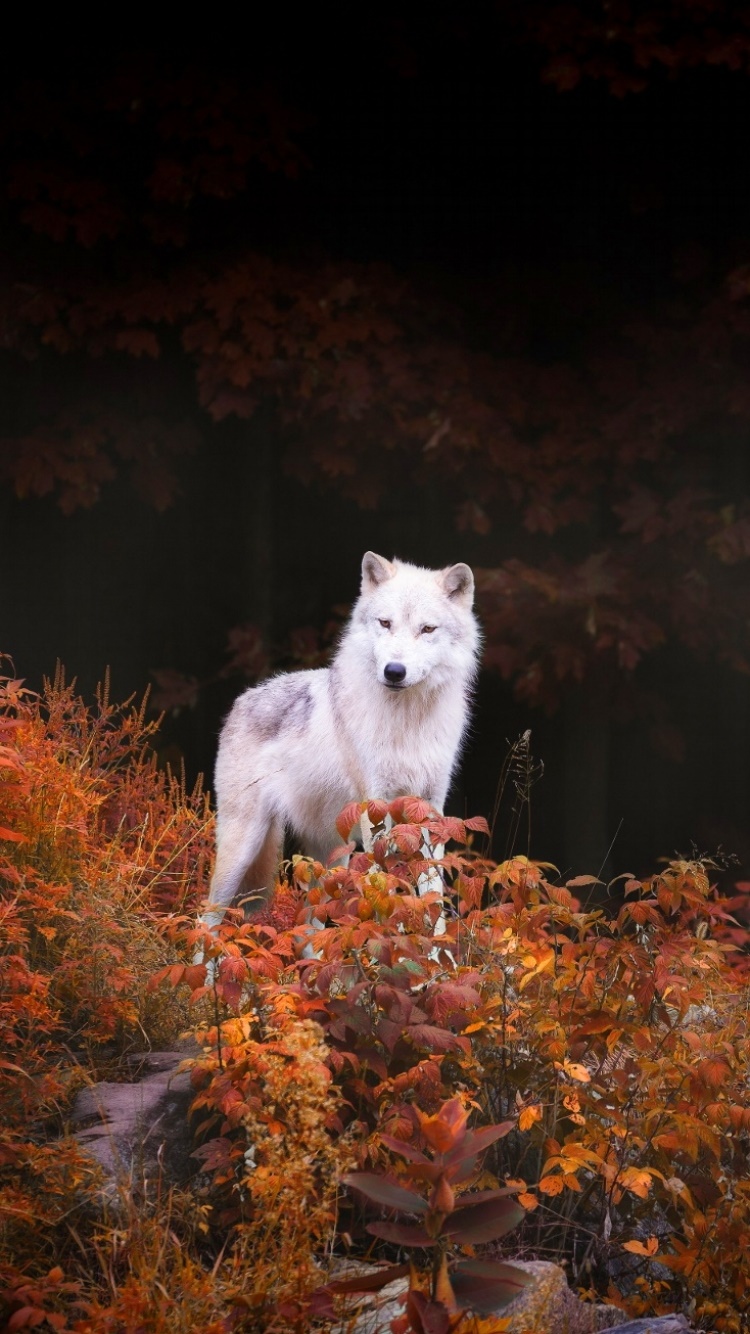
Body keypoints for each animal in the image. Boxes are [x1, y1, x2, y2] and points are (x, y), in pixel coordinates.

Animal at [200, 551, 480, 935]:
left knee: (309, 930)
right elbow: (384, 885)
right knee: (205, 920)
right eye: (385, 623)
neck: (406, 723)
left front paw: (436, 951)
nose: (394, 671)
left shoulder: (430, 809)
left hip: (332, 857)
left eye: (427, 629)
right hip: (244, 847)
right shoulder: (375, 807)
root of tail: (244, 698)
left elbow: (432, 892)